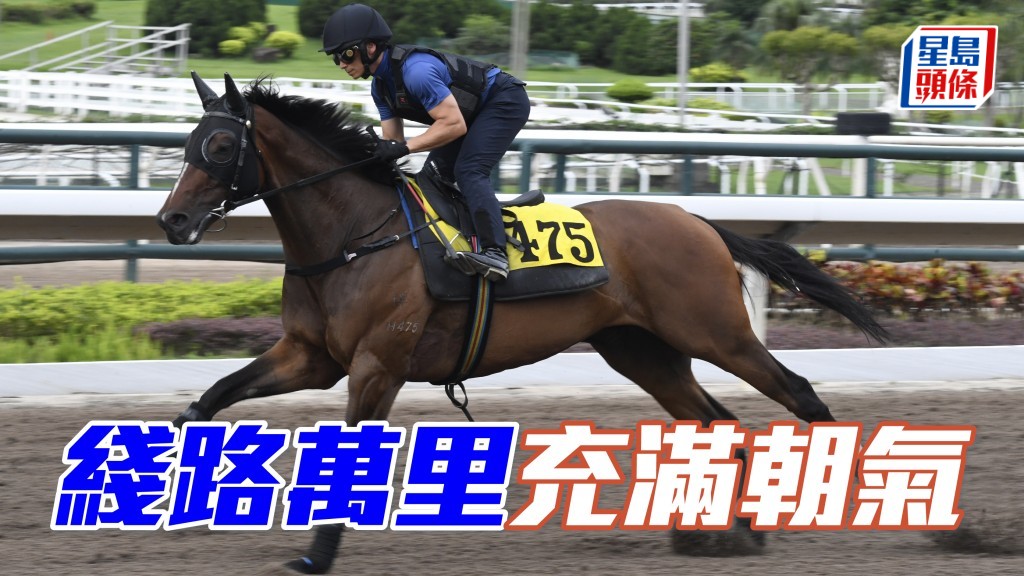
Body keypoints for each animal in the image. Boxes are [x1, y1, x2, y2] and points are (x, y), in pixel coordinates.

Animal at [157, 73, 887, 574]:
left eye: (218, 144)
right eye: (186, 145)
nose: (171, 220)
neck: (356, 235)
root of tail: (698, 220)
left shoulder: (377, 367)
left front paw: (316, 556)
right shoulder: (310, 356)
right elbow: (208, 400)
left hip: (717, 334)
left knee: (799, 394)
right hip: (643, 352)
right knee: (719, 422)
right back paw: (731, 531)